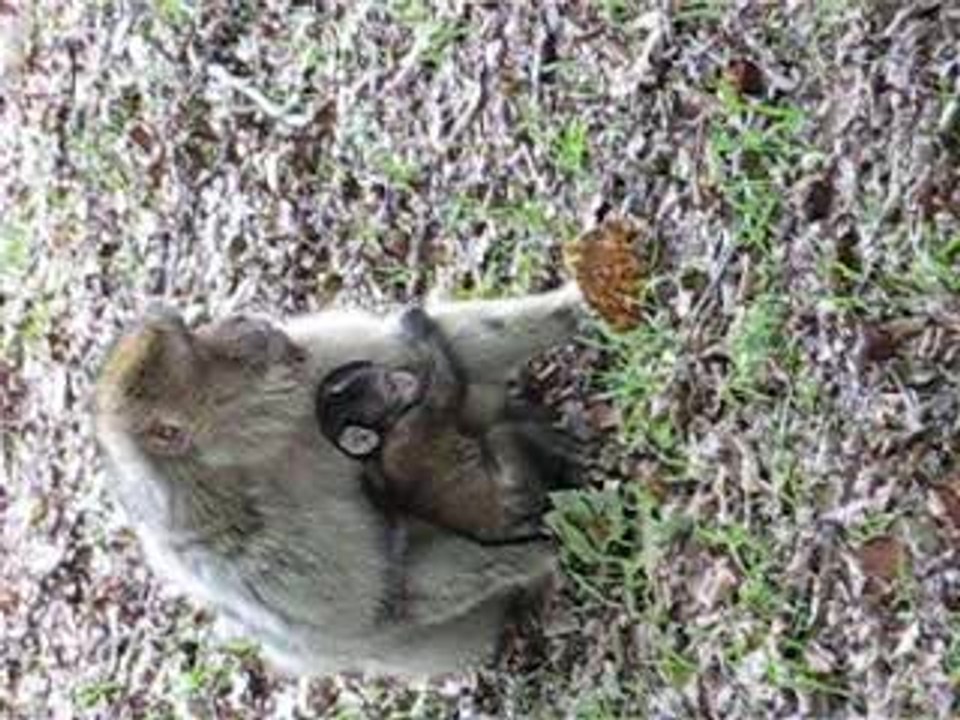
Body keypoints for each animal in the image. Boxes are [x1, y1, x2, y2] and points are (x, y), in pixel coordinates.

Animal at [95, 285, 585, 677]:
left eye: (193, 333)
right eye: (198, 348)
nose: (241, 323)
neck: (247, 455)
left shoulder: (310, 370)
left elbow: (427, 350)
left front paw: (581, 300)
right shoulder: (247, 561)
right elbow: (388, 604)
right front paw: (542, 552)